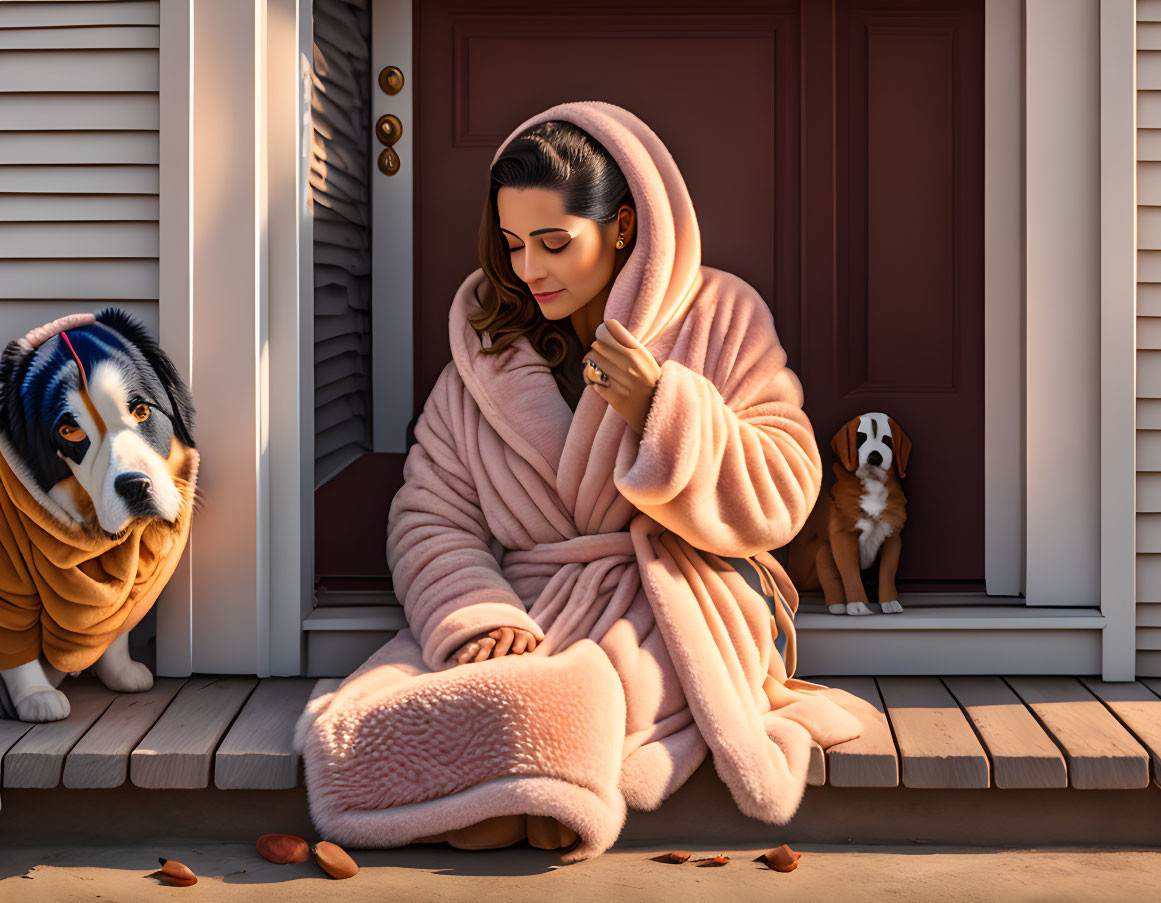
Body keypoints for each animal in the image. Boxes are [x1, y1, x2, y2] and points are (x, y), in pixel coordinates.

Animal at [0, 308, 197, 719]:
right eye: (70, 432)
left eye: (141, 410)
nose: (135, 485)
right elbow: (13, 639)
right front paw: (35, 696)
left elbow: (116, 621)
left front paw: (120, 671)